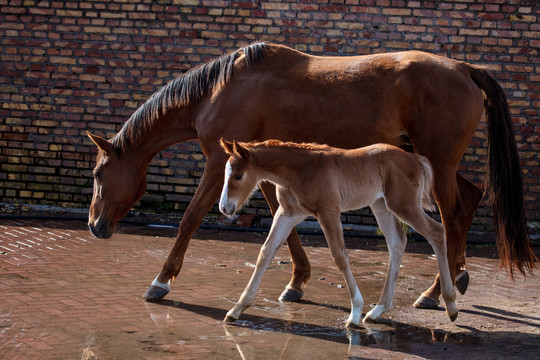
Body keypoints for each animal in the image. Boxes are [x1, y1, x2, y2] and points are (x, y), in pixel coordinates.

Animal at [88, 41, 536, 310]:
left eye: (97, 173)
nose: (95, 226)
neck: (219, 89)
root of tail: (463, 67)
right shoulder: (258, 166)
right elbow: (281, 221)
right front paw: (298, 280)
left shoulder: (220, 162)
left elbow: (190, 219)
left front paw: (161, 281)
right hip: (430, 163)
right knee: (470, 199)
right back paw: (456, 278)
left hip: (437, 164)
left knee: (452, 217)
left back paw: (434, 292)